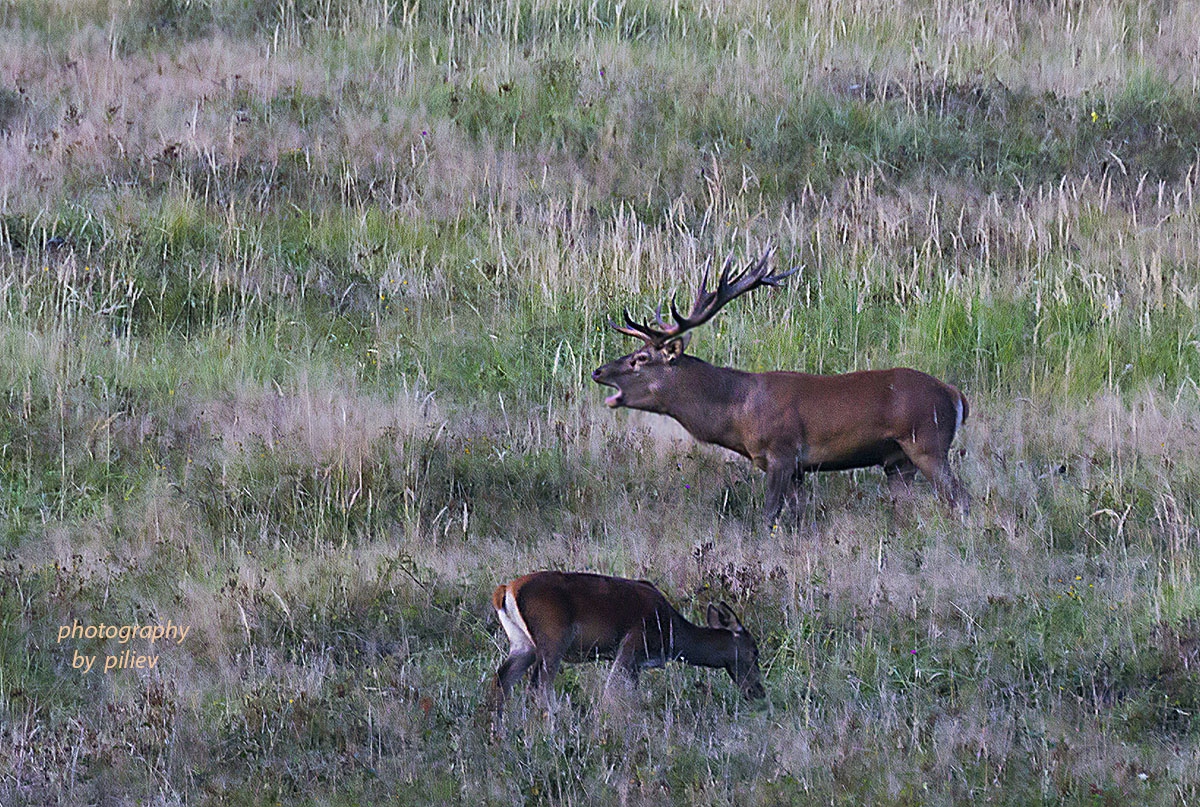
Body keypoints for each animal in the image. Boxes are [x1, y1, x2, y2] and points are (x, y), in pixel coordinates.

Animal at [489, 574, 763, 706]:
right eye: (754, 651)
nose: (758, 691)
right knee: (538, 686)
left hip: (522, 643)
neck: (670, 636)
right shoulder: (632, 645)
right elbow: (614, 691)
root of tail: (504, 591)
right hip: (552, 638)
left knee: (502, 679)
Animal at [590, 250, 964, 523]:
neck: (738, 411)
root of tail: (954, 395)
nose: (597, 371)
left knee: (960, 498)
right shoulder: (796, 468)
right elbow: (796, 518)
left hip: (927, 442)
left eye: (640, 358)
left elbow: (769, 514)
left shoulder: (782, 452)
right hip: (898, 462)